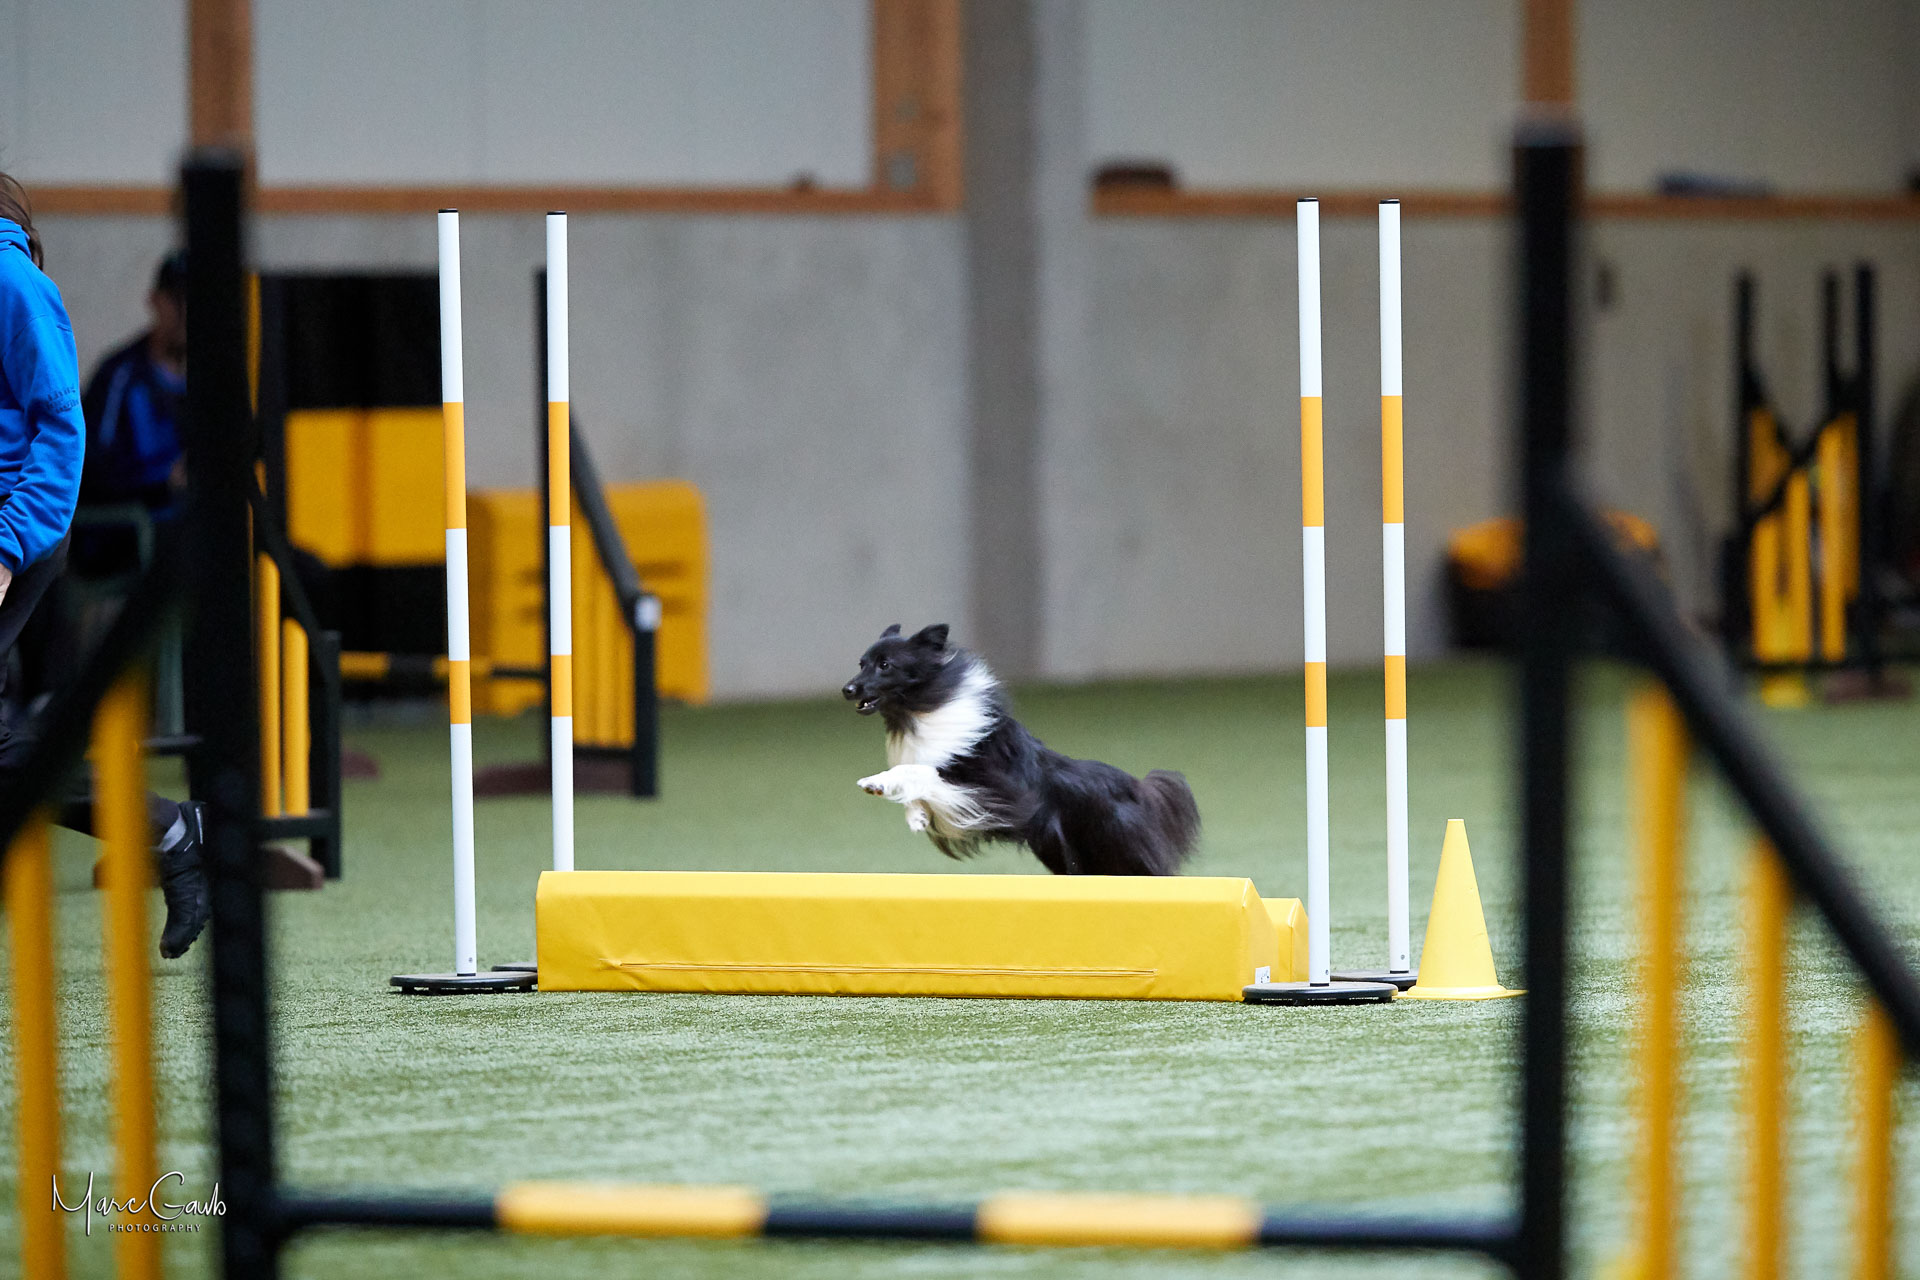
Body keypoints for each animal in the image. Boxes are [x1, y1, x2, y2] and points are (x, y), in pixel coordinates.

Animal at [842, 623, 1199, 875]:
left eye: (885, 665)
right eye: (861, 663)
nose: (847, 689)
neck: (920, 710)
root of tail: (1139, 787)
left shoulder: (989, 786)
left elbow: (920, 770)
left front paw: (877, 783)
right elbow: (919, 778)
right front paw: (916, 815)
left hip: (1115, 851)